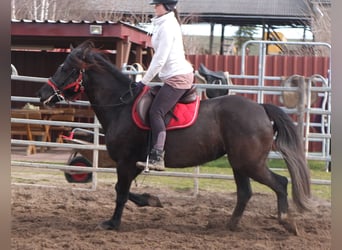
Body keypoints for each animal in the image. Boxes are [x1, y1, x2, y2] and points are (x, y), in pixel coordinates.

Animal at [36, 40, 310, 234]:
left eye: (65, 68)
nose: (42, 94)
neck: (121, 105)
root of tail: (261, 108)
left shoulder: (126, 162)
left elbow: (121, 192)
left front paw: (113, 223)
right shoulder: (135, 163)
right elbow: (123, 190)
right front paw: (152, 200)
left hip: (250, 163)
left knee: (280, 183)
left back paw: (287, 222)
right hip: (239, 163)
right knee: (245, 193)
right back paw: (230, 226)